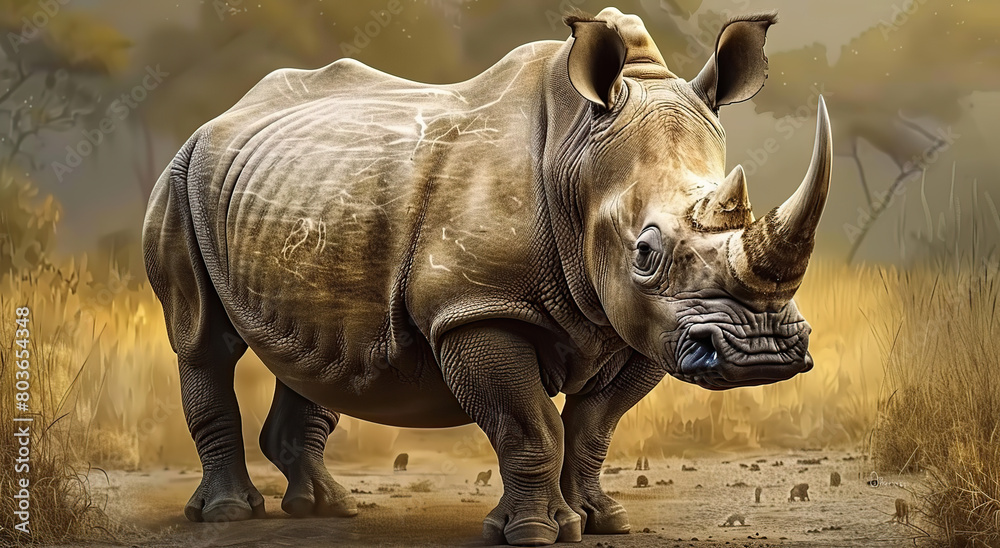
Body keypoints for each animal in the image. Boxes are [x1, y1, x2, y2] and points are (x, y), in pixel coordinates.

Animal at [142, 7, 830, 546]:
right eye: (645, 253)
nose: (762, 351)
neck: (576, 158)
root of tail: (224, 114)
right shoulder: (477, 307)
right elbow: (532, 426)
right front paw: (534, 533)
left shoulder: (643, 324)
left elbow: (592, 427)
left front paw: (601, 521)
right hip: (181, 177)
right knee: (202, 342)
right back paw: (229, 515)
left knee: (316, 346)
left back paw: (327, 508)